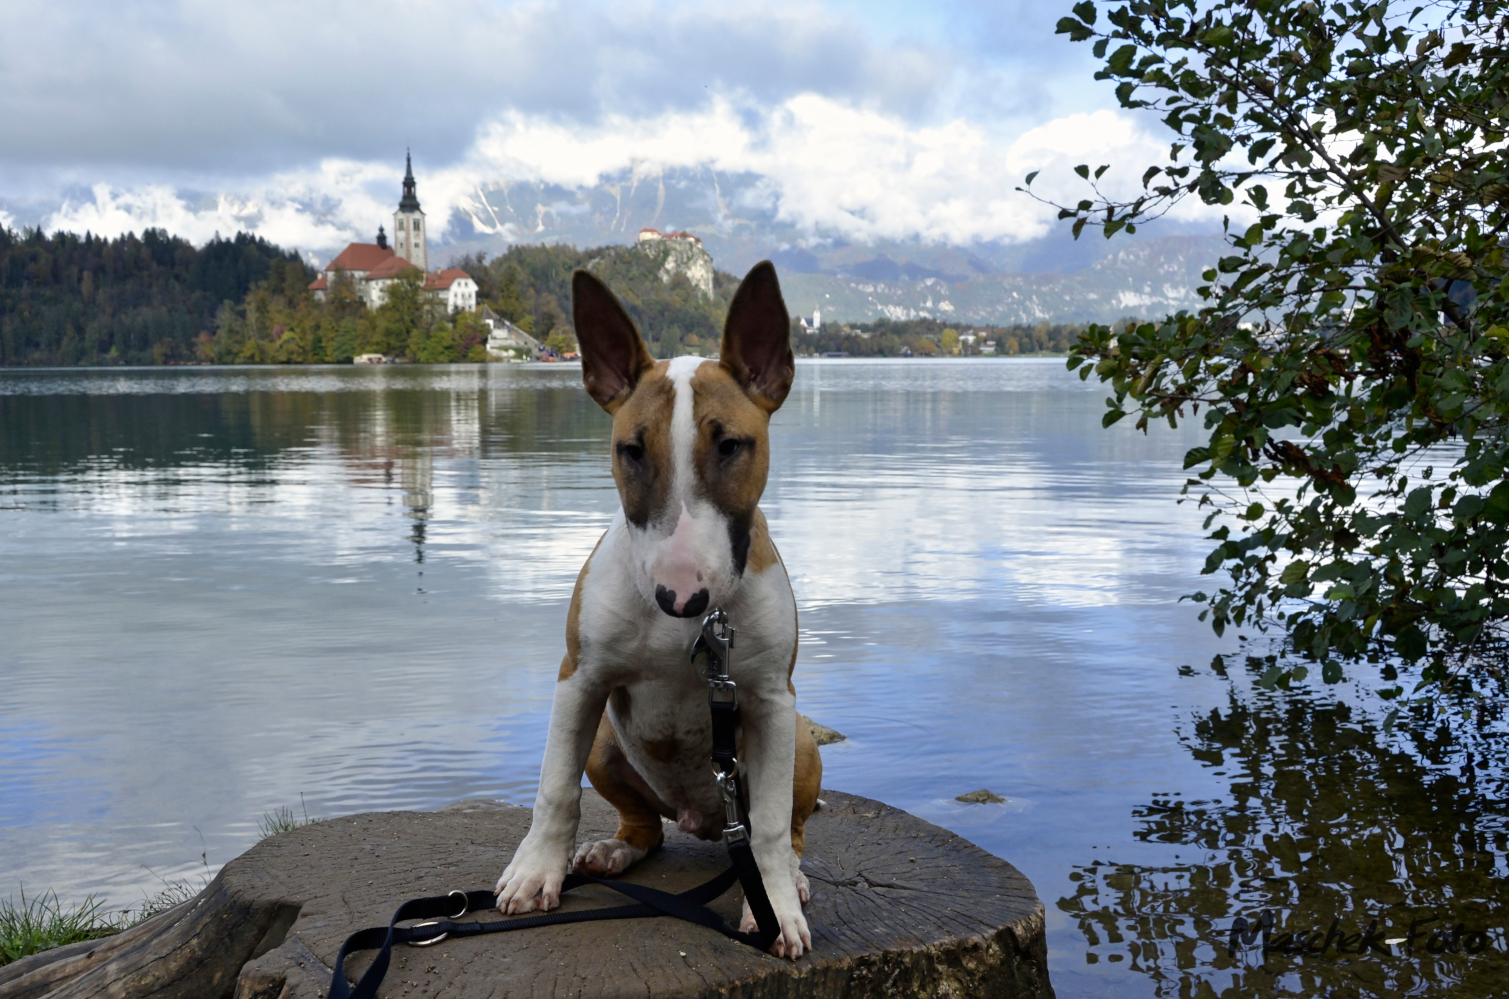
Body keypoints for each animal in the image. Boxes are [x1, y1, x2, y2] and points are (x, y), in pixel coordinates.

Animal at [492, 259, 827, 966]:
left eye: (730, 446)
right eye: (632, 450)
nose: (682, 598)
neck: (688, 634)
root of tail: (702, 819)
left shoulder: (771, 701)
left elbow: (770, 829)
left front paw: (775, 909)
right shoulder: (579, 678)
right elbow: (555, 788)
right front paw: (535, 873)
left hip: (802, 740)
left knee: (788, 829)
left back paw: (793, 880)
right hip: (603, 743)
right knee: (643, 825)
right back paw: (609, 851)